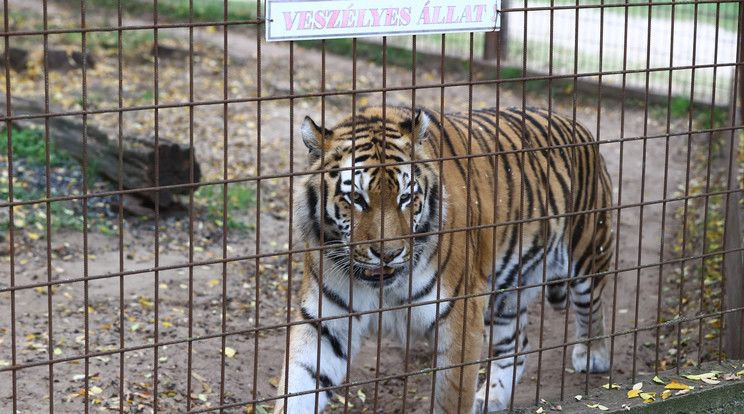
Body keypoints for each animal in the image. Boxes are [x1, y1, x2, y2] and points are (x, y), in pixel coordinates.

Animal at [276, 106, 612, 414]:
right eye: (356, 199)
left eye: (405, 198)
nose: (389, 254)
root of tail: (574, 121)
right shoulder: (326, 321)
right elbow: (299, 383)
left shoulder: (461, 313)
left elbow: (452, 395)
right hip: (505, 292)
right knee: (517, 345)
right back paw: (491, 397)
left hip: (587, 254)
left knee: (593, 307)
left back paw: (592, 355)